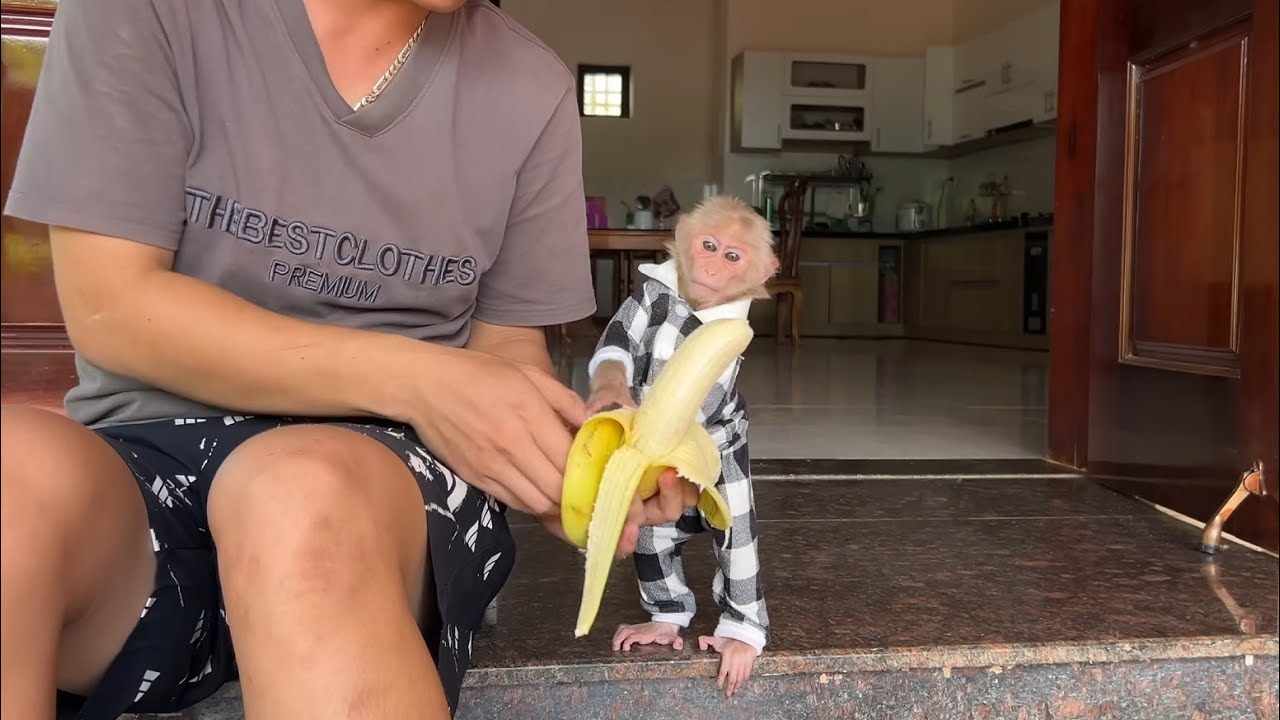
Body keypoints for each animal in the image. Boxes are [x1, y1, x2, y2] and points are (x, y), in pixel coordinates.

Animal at [584, 194, 776, 698]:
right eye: (708, 244)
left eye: (733, 256)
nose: (712, 264)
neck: (694, 307)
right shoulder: (647, 297)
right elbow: (617, 342)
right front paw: (610, 397)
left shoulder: (726, 345)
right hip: (658, 520)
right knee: (653, 548)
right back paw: (663, 621)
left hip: (724, 481)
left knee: (738, 545)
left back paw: (739, 639)